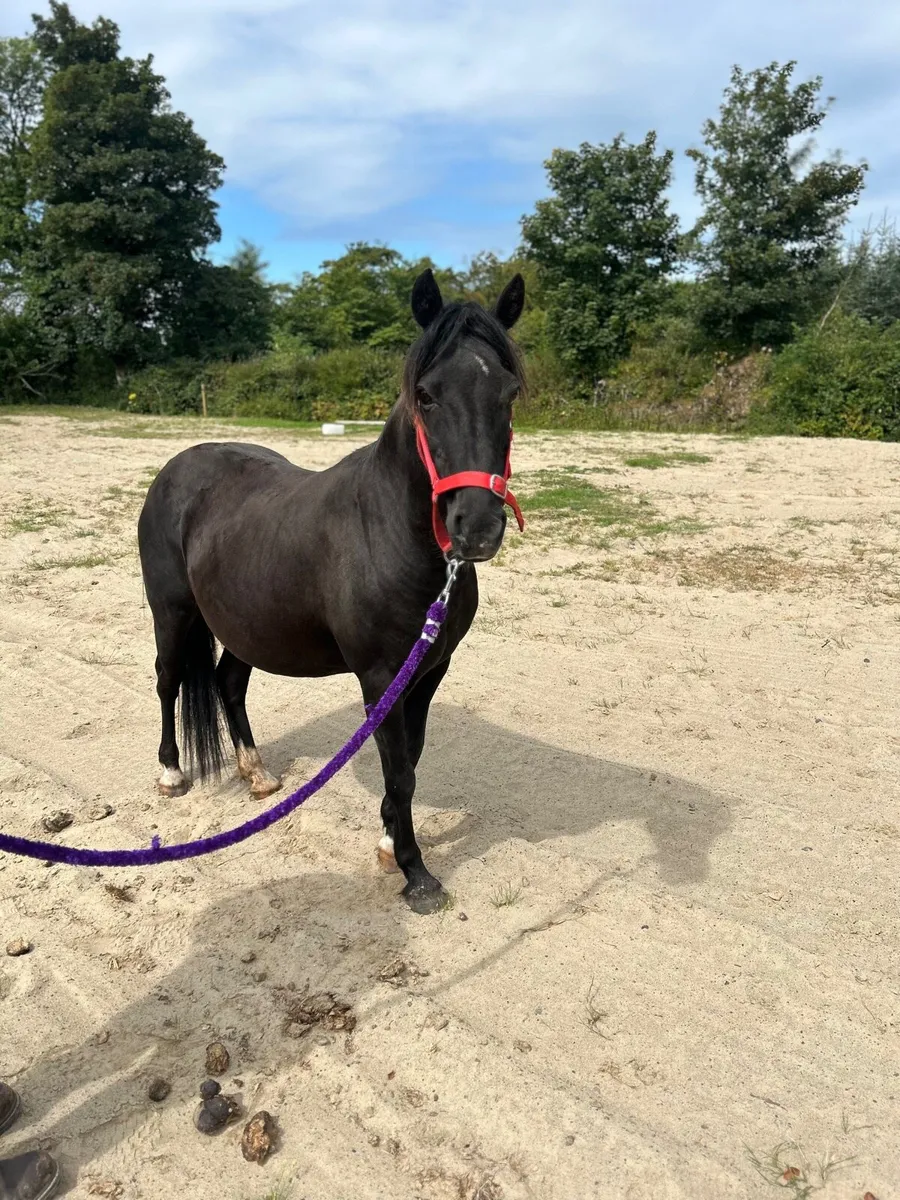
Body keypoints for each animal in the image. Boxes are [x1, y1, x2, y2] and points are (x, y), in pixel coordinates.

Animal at [137, 268, 526, 913]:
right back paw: (169, 774)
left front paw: (388, 845)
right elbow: (399, 770)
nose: (477, 527)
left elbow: (410, 762)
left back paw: (257, 773)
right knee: (169, 681)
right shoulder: (379, 678)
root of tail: (177, 468)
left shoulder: (428, 672)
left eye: (510, 393)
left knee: (227, 683)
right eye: (426, 394)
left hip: (246, 624)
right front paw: (416, 873)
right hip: (172, 613)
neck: (391, 534)